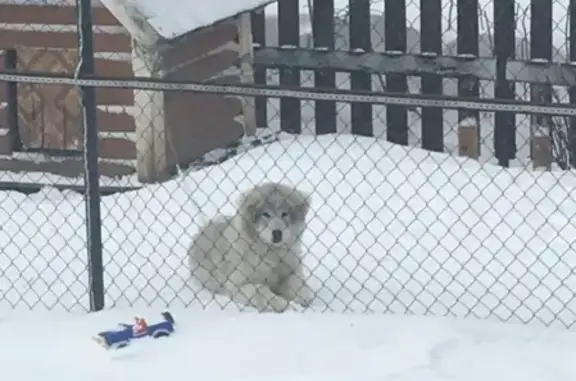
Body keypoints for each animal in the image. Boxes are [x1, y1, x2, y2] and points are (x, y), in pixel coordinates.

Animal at [188, 182, 316, 312]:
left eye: (284, 214)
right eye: (266, 214)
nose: (277, 233)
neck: (270, 254)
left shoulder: (290, 271)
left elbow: (298, 285)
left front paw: (304, 297)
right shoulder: (237, 284)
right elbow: (260, 290)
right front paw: (281, 303)